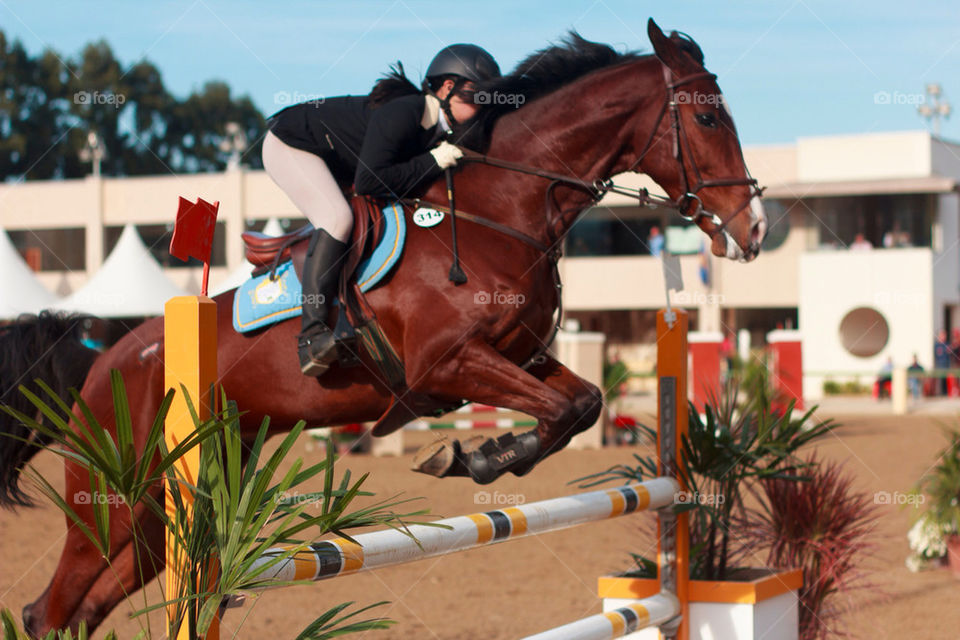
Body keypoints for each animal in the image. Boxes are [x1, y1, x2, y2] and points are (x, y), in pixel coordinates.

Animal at [1, 19, 765, 636]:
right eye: (706, 122)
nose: (754, 229)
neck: (499, 208)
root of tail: (104, 358)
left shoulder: (518, 356)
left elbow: (582, 404)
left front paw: (482, 457)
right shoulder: (446, 366)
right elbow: (563, 408)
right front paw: (469, 456)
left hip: (164, 515)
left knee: (82, 607)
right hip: (111, 500)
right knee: (51, 608)